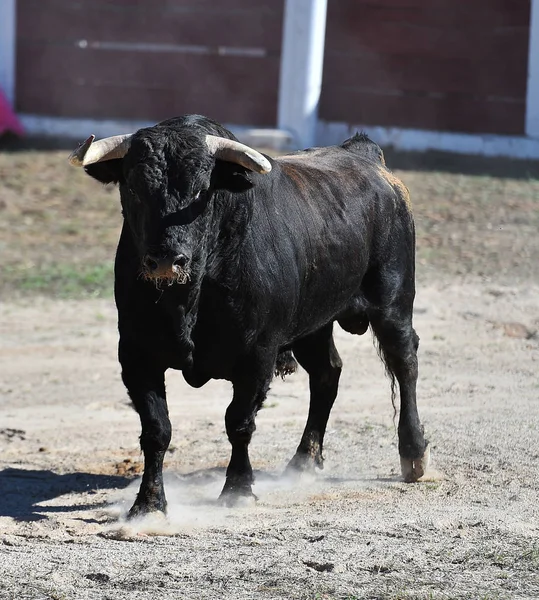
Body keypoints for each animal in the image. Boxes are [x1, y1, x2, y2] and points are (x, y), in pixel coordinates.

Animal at [69, 116, 430, 516]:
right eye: (133, 188)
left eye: (202, 191)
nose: (165, 260)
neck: (189, 299)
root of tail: (365, 155)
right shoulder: (136, 355)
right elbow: (156, 429)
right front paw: (148, 504)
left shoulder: (257, 355)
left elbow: (239, 422)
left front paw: (238, 489)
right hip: (313, 325)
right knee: (327, 373)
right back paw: (304, 461)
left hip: (393, 301)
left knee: (405, 362)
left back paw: (413, 455)